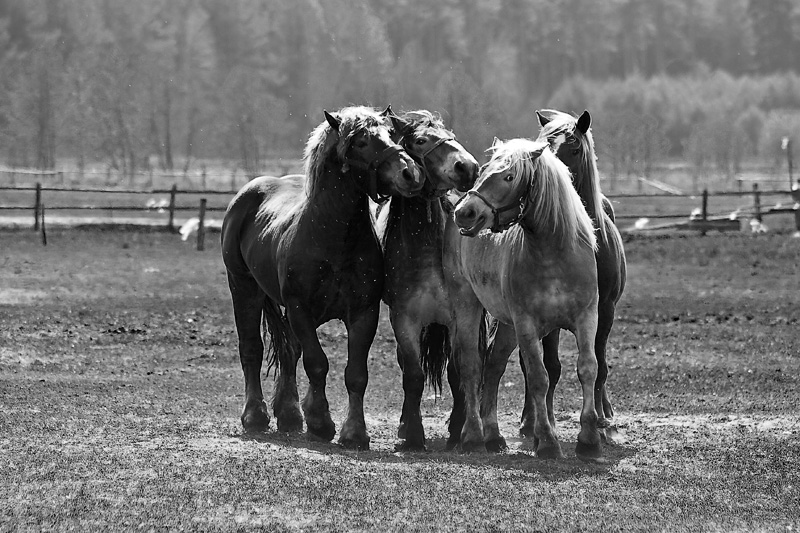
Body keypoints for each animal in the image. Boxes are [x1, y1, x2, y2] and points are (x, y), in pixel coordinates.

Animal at [219, 105, 424, 448]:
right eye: (360, 142)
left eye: (391, 134)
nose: (410, 173)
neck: (334, 237)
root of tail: (250, 192)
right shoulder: (300, 309)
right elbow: (317, 364)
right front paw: (320, 422)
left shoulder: (363, 314)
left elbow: (355, 374)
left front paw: (354, 432)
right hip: (243, 288)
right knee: (252, 349)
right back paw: (255, 416)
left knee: (289, 351)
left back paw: (288, 414)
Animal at [374, 108, 478, 448]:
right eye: (420, 140)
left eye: (451, 135)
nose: (467, 167)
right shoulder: (404, 321)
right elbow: (414, 375)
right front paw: (413, 434)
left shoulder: (459, 318)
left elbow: (458, 373)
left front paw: (458, 430)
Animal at [446, 136, 604, 458]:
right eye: (483, 170)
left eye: (509, 177)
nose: (465, 212)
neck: (554, 254)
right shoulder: (527, 325)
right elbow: (538, 378)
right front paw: (547, 440)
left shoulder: (586, 318)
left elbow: (587, 369)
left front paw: (589, 439)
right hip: (468, 305)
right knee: (471, 366)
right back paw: (473, 435)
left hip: (507, 326)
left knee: (493, 366)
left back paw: (493, 436)